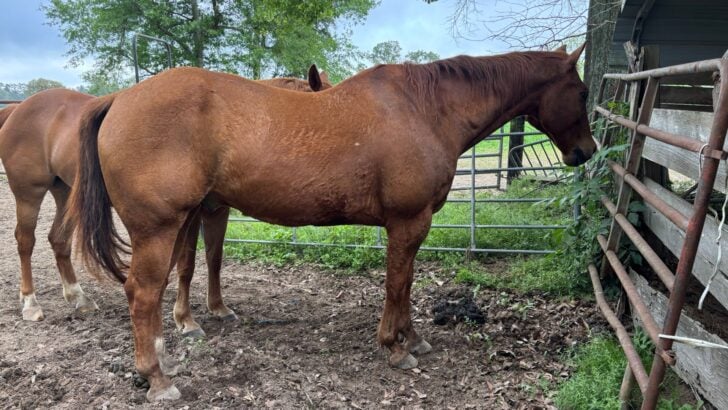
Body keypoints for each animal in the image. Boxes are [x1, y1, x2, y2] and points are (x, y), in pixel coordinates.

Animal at [0, 65, 329, 324]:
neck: (229, 125)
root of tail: (18, 108)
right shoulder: (192, 213)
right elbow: (188, 262)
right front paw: (184, 319)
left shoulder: (216, 210)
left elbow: (214, 258)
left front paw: (218, 307)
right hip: (29, 194)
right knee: (25, 241)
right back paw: (30, 304)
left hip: (65, 193)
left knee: (58, 239)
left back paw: (78, 298)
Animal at [67, 45, 595, 401]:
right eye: (582, 90)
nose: (585, 151)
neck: (424, 109)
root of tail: (119, 99)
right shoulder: (408, 222)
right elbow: (398, 284)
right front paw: (396, 346)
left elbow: (405, 284)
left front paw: (413, 339)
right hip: (157, 228)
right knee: (142, 294)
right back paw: (157, 379)